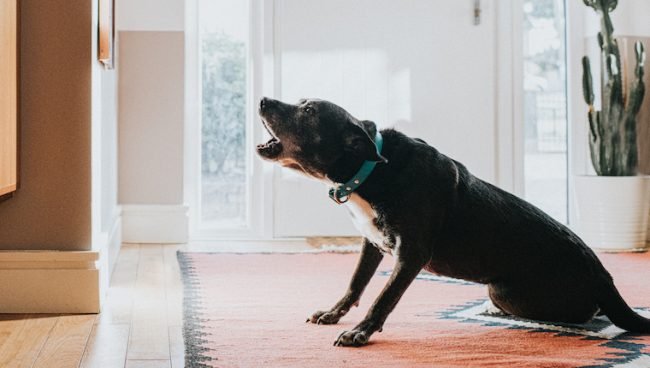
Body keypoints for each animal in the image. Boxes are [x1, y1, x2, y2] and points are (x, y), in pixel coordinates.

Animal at [254, 97, 648, 344]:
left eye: (308, 110)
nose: (262, 100)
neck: (372, 169)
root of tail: (604, 277)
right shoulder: (372, 244)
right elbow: (355, 284)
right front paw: (334, 314)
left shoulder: (411, 255)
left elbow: (383, 296)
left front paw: (360, 332)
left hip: (504, 290)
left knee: (584, 315)